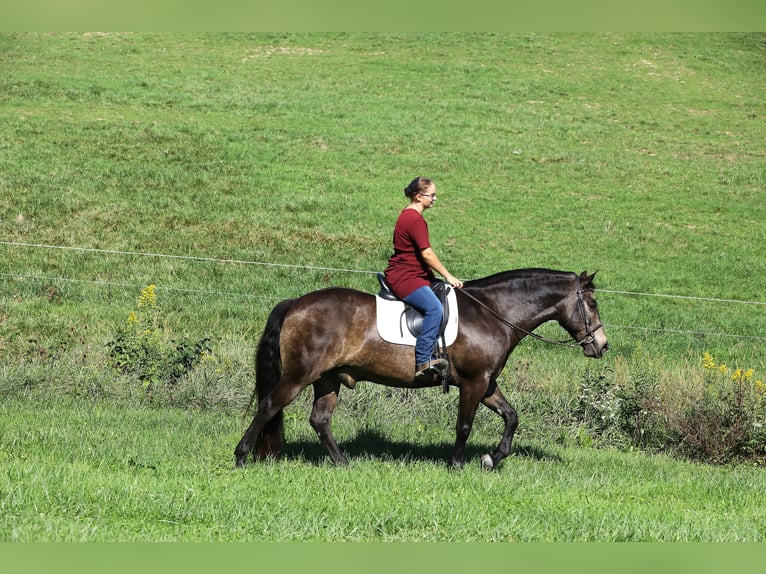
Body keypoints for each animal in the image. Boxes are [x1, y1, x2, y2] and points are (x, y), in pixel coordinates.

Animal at [236, 268, 612, 470]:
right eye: (592, 304)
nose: (602, 345)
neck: (491, 312)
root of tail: (296, 303)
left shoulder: (487, 383)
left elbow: (512, 416)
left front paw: (493, 458)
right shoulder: (474, 383)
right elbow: (464, 426)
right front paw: (457, 464)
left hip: (328, 378)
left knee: (320, 420)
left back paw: (342, 463)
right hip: (299, 375)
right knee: (269, 406)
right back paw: (241, 456)